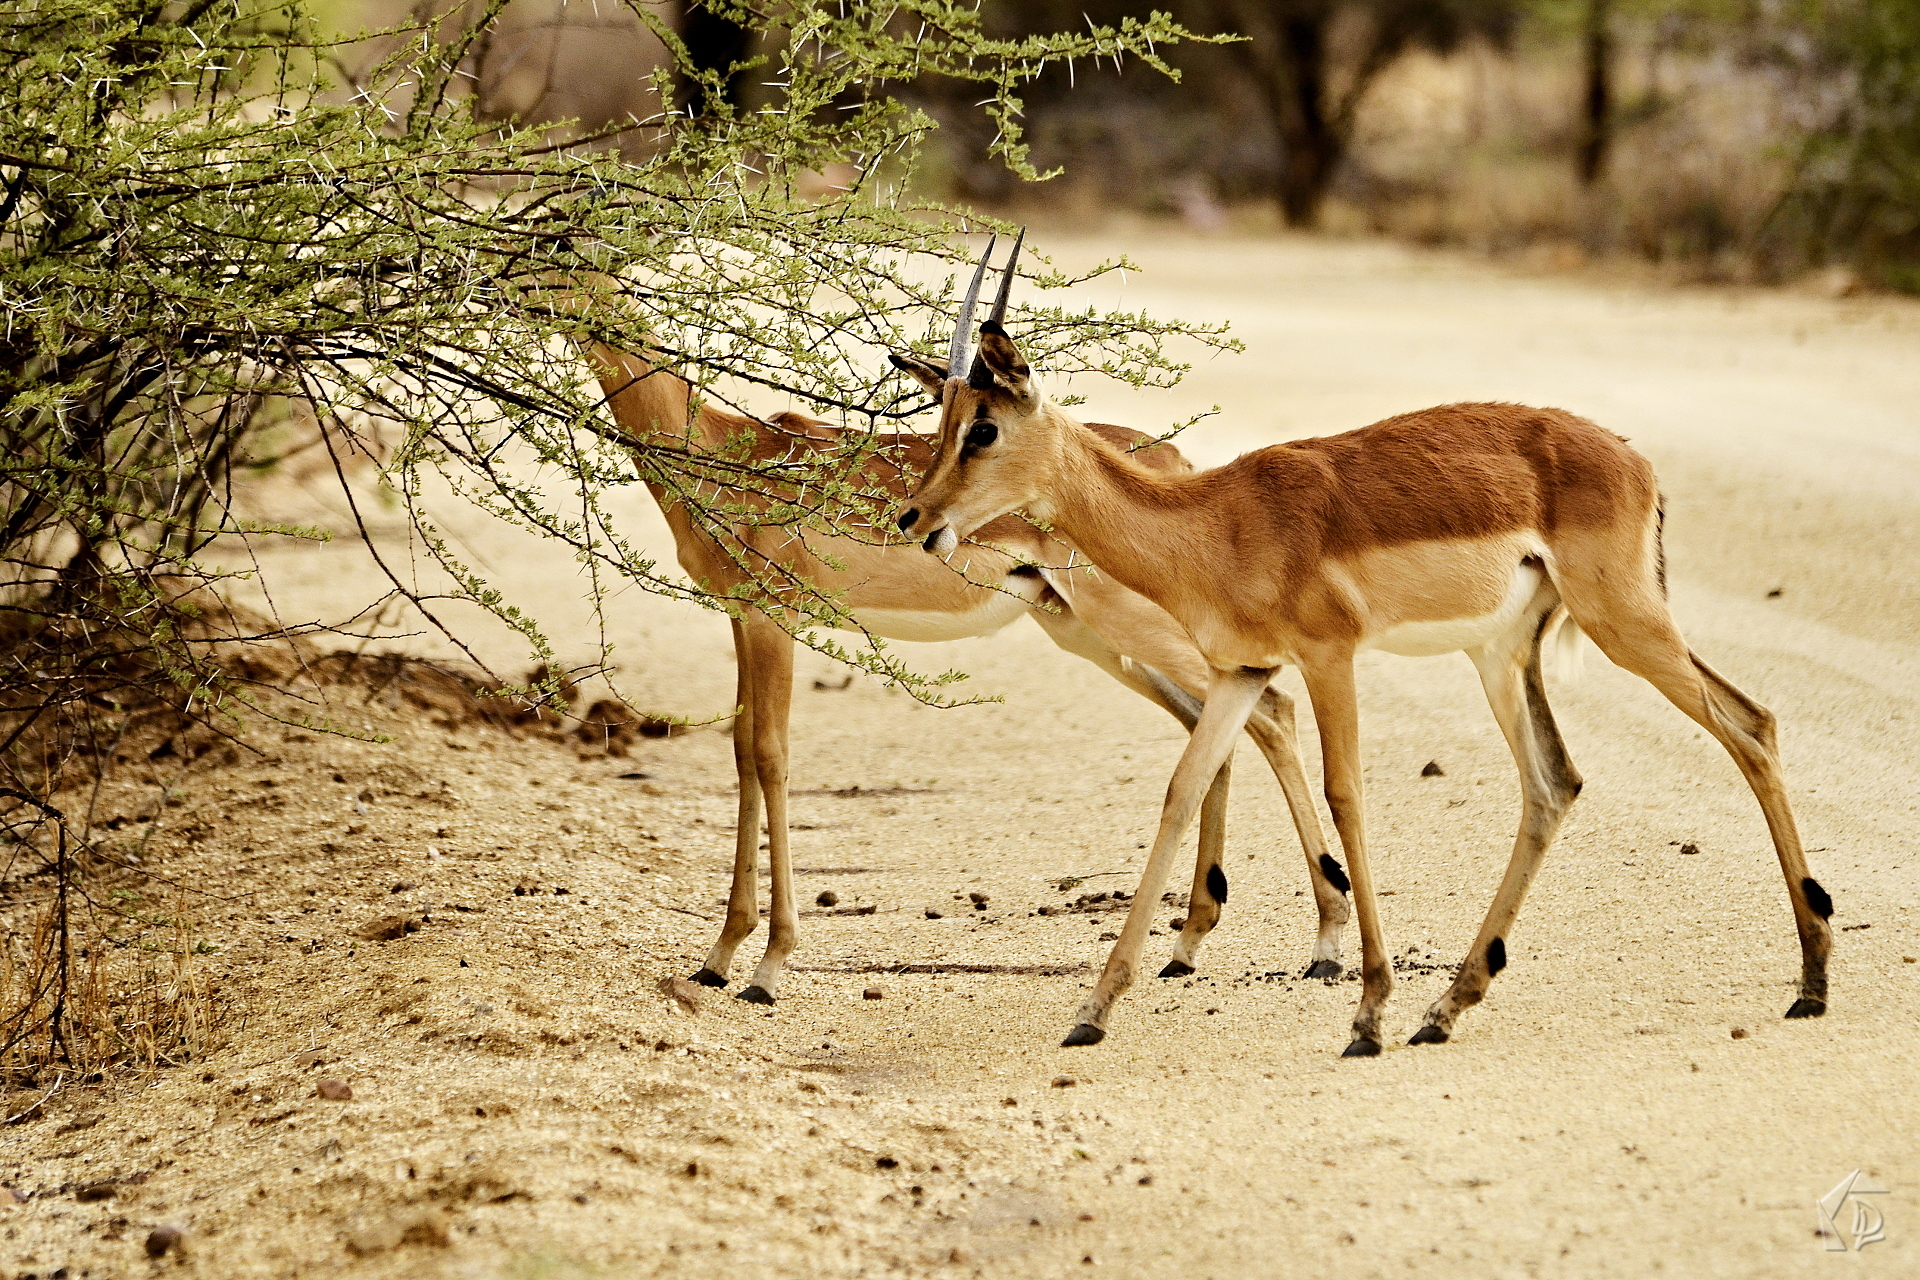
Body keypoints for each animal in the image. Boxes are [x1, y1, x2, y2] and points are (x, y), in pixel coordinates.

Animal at [581, 239, 1354, 1006]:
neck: (712, 442)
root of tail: (1177, 464)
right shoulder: (743, 616)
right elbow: (744, 754)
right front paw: (717, 957)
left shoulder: (775, 616)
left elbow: (770, 757)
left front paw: (767, 966)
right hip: (1092, 637)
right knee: (1212, 726)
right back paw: (1189, 945)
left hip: (1143, 632)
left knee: (1272, 709)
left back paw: (1324, 942)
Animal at [892, 258, 1834, 1056]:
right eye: (941, 421)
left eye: (983, 428)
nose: (914, 519)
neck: (1214, 523)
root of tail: (1635, 458)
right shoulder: (1244, 672)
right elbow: (1182, 788)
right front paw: (1092, 1010)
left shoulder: (1327, 656)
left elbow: (1346, 795)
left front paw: (1367, 1012)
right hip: (1502, 653)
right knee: (1553, 783)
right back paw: (1447, 1007)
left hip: (1625, 624)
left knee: (1752, 724)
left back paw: (1812, 981)